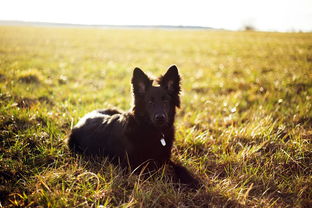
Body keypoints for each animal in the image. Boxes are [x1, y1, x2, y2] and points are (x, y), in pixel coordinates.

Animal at [68, 65, 200, 188]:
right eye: (149, 102)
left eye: (165, 101)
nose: (160, 117)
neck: (152, 131)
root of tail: (81, 120)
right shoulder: (137, 168)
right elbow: (163, 175)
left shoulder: (165, 159)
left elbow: (180, 168)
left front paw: (193, 181)